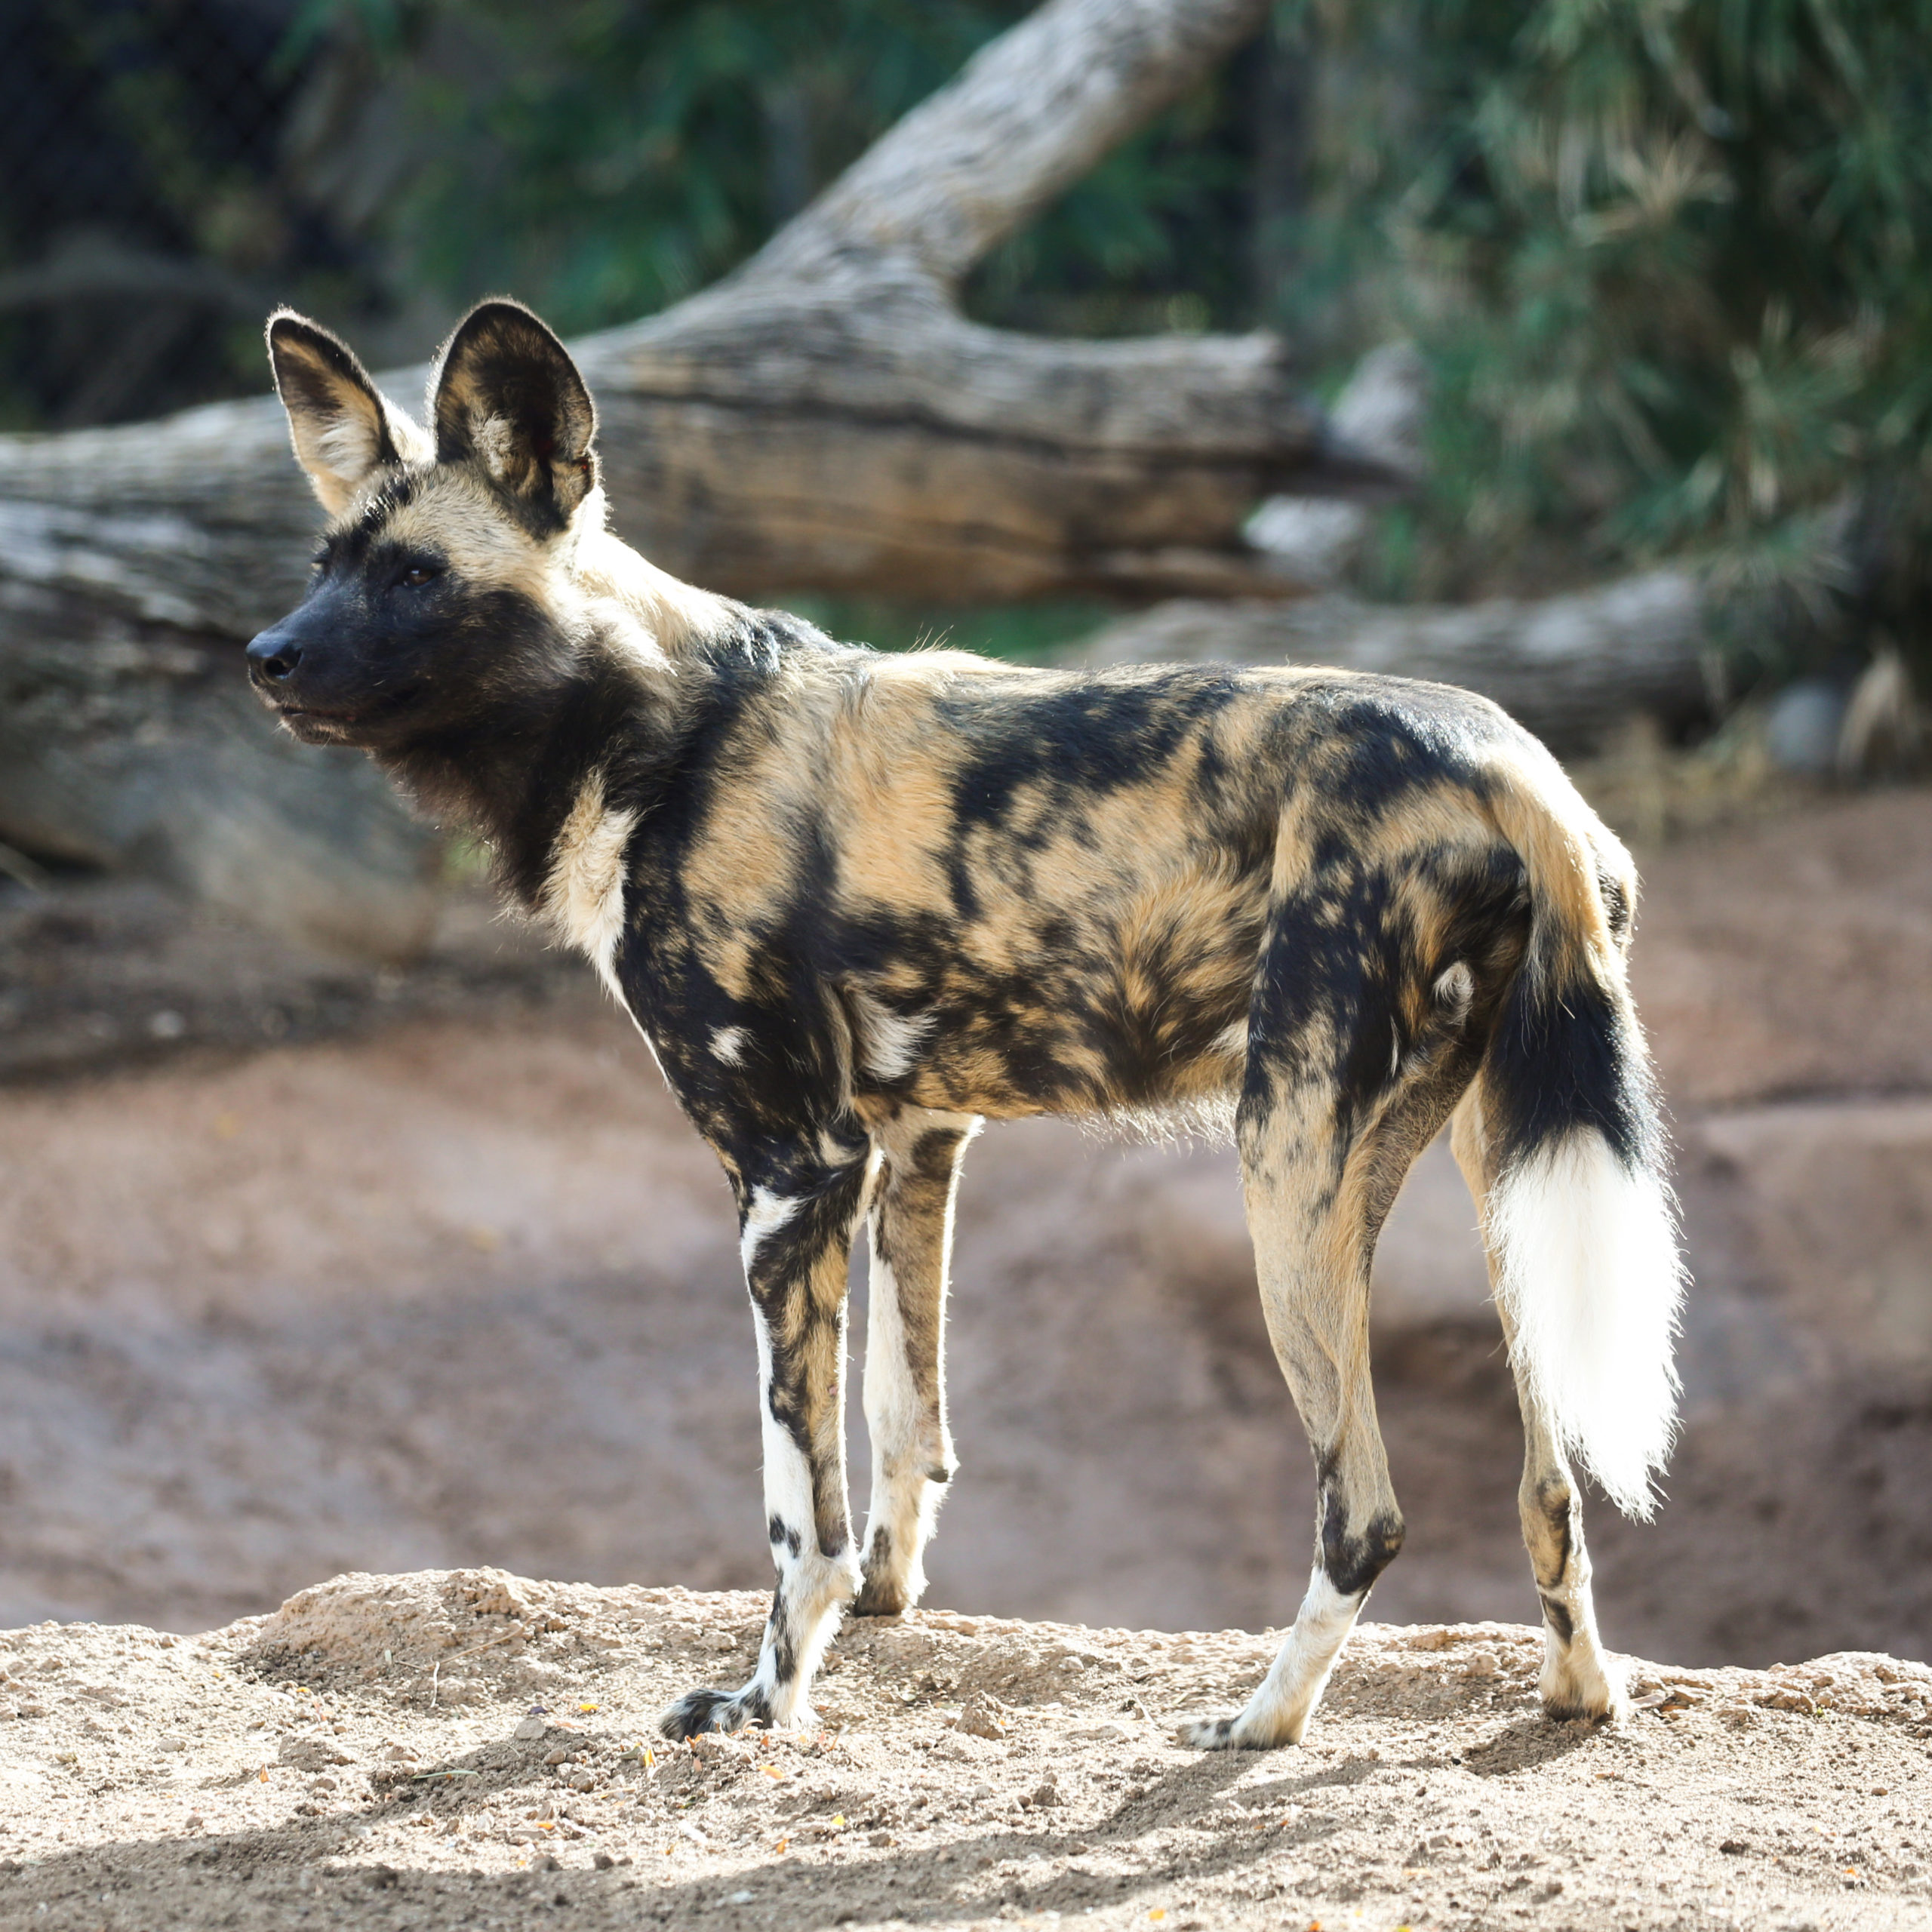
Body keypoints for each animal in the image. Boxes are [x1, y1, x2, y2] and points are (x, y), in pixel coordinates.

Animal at [249, 297, 1684, 1754]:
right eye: (324, 565)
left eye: (416, 578)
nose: (267, 657)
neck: (658, 732)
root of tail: (1510, 767)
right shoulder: (909, 1146)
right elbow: (905, 1421)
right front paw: (888, 1607)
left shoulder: (790, 1176)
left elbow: (798, 1508)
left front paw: (770, 1696)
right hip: (1486, 1170)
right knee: (1551, 1483)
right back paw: (1576, 1696)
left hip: (1285, 1168)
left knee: (1367, 1511)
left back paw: (1260, 1723)